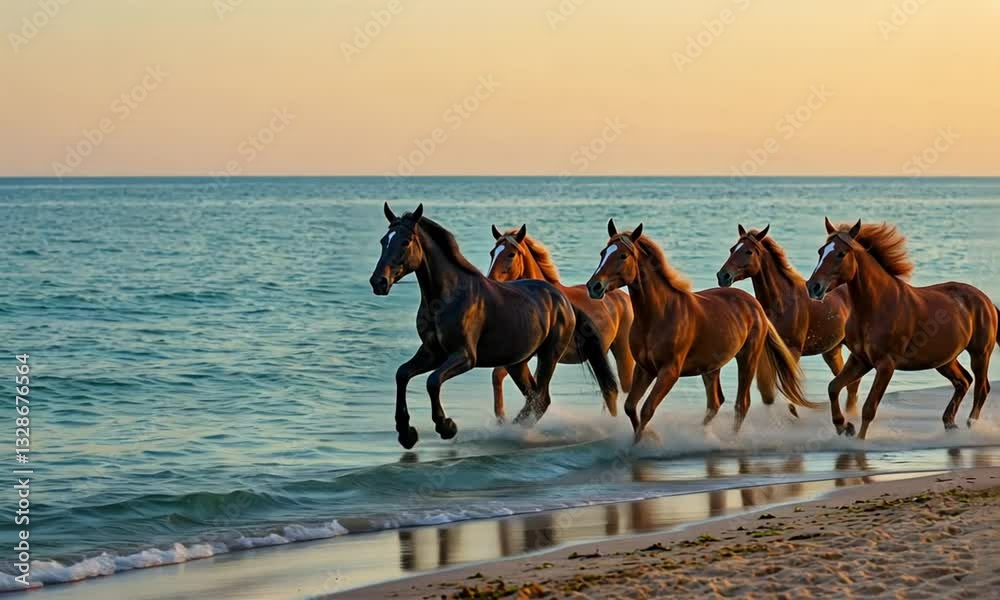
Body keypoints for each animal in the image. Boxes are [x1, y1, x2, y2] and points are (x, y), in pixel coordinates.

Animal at [370, 203, 615, 449]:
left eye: (405, 242)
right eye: (383, 241)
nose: (378, 282)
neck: (446, 299)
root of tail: (562, 298)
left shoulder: (465, 356)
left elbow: (432, 381)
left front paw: (446, 426)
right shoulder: (432, 353)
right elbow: (402, 374)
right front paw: (406, 434)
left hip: (549, 355)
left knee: (541, 398)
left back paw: (512, 431)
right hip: (518, 362)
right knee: (534, 397)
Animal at [487, 224, 632, 418]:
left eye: (511, 254)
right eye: (492, 253)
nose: (490, 280)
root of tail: (624, 298)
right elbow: (498, 375)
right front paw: (501, 417)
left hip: (623, 351)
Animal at [586, 220, 817, 443]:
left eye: (623, 255)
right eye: (603, 253)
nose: (594, 286)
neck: (658, 316)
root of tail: (755, 304)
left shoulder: (669, 371)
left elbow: (647, 409)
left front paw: (643, 444)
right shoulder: (644, 369)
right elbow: (630, 407)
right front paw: (644, 438)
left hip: (748, 357)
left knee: (741, 404)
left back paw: (730, 440)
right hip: (711, 367)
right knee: (715, 403)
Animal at [717, 224, 860, 415]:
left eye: (748, 251)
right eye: (732, 249)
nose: (722, 276)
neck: (781, 304)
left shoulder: (793, 350)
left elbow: (789, 394)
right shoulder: (766, 353)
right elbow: (767, 394)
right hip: (832, 351)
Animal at [806, 218, 998, 439]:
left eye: (841, 253)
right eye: (821, 251)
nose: (813, 287)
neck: (875, 307)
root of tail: (985, 300)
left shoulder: (885, 365)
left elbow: (869, 408)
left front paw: (859, 440)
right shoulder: (860, 360)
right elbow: (833, 387)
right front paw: (844, 427)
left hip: (980, 354)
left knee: (981, 388)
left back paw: (971, 426)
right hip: (944, 360)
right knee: (963, 381)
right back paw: (950, 424)